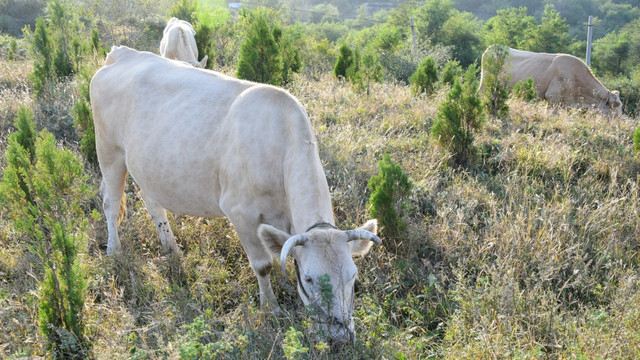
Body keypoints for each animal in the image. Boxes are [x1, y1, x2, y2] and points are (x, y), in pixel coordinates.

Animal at [90, 46, 380, 348]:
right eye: (310, 279)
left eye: (353, 277)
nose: (340, 337)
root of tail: (124, 53)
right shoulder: (241, 212)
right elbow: (263, 265)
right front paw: (271, 308)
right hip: (108, 151)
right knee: (111, 204)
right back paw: (114, 251)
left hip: (147, 164)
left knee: (152, 202)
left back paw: (171, 248)